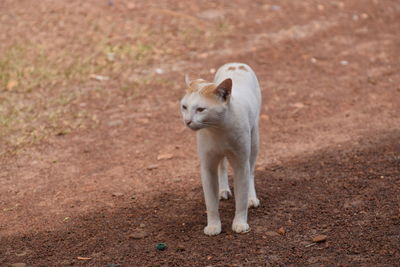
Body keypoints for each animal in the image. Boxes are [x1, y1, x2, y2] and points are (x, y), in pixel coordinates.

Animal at [181, 62, 262, 237]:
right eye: (184, 107)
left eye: (200, 109)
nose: (187, 121)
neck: (217, 129)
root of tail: (235, 64)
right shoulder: (207, 167)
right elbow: (210, 203)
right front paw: (213, 226)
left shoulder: (241, 165)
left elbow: (241, 200)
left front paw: (240, 223)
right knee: (222, 166)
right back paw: (223, 190)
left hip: (254, 142)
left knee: (252, 172)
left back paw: (252, 198)